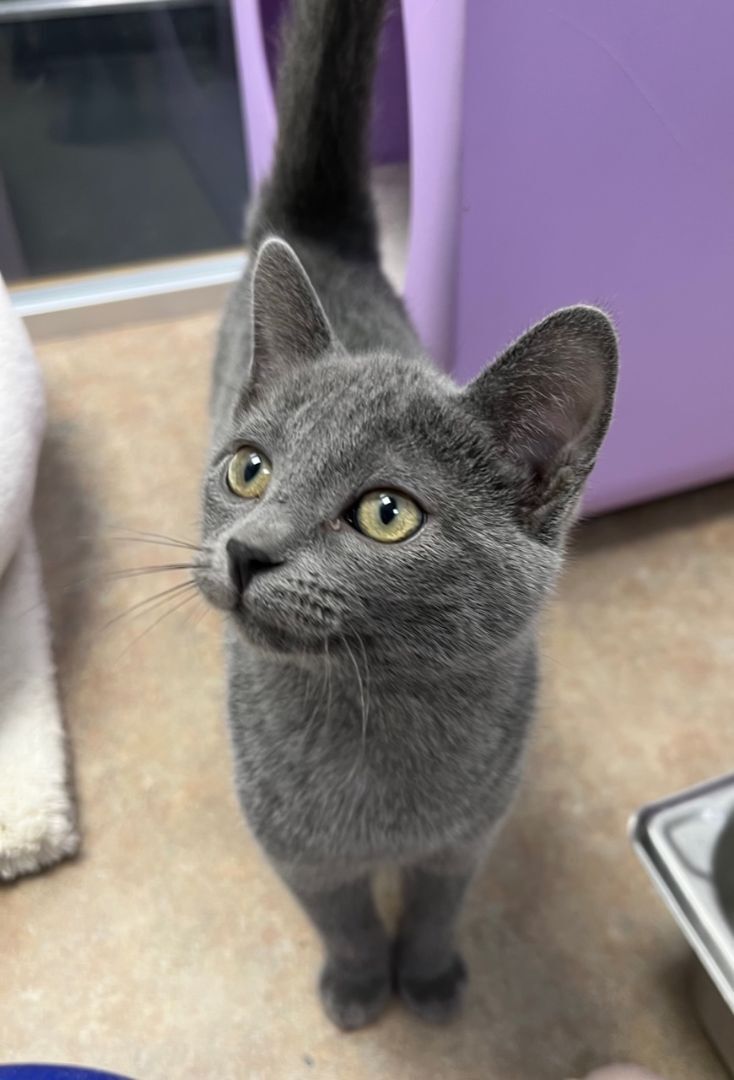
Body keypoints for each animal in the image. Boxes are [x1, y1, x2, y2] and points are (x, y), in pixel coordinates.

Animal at [193, 0, 613, 1032]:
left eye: (388, 514)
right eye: (250, 471)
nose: (247, 551)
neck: (372, 720)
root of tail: (318, 232)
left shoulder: (467, 837)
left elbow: (434, 908)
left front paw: (426, 983)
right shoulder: (296, 853)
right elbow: (343, 921)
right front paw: (356, 990)